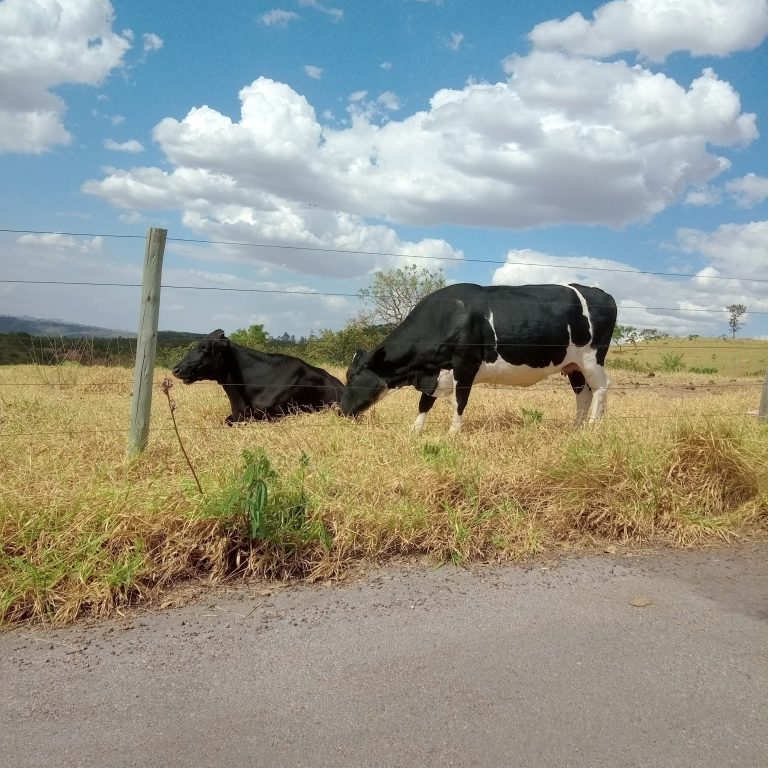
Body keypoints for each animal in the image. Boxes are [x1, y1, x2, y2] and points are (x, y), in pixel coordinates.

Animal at [342, 284, 616, 436]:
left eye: (352, 378)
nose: (341, 410)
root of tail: (600, 293)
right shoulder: (436, 372)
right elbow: (424, 403)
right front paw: (415, 431)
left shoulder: (465, 364)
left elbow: (460, 400)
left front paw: (452, 433)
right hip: (573, 366)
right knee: (583, 393)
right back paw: (576, 429)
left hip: (592, 359)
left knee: (601, 388)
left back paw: (593, 427)